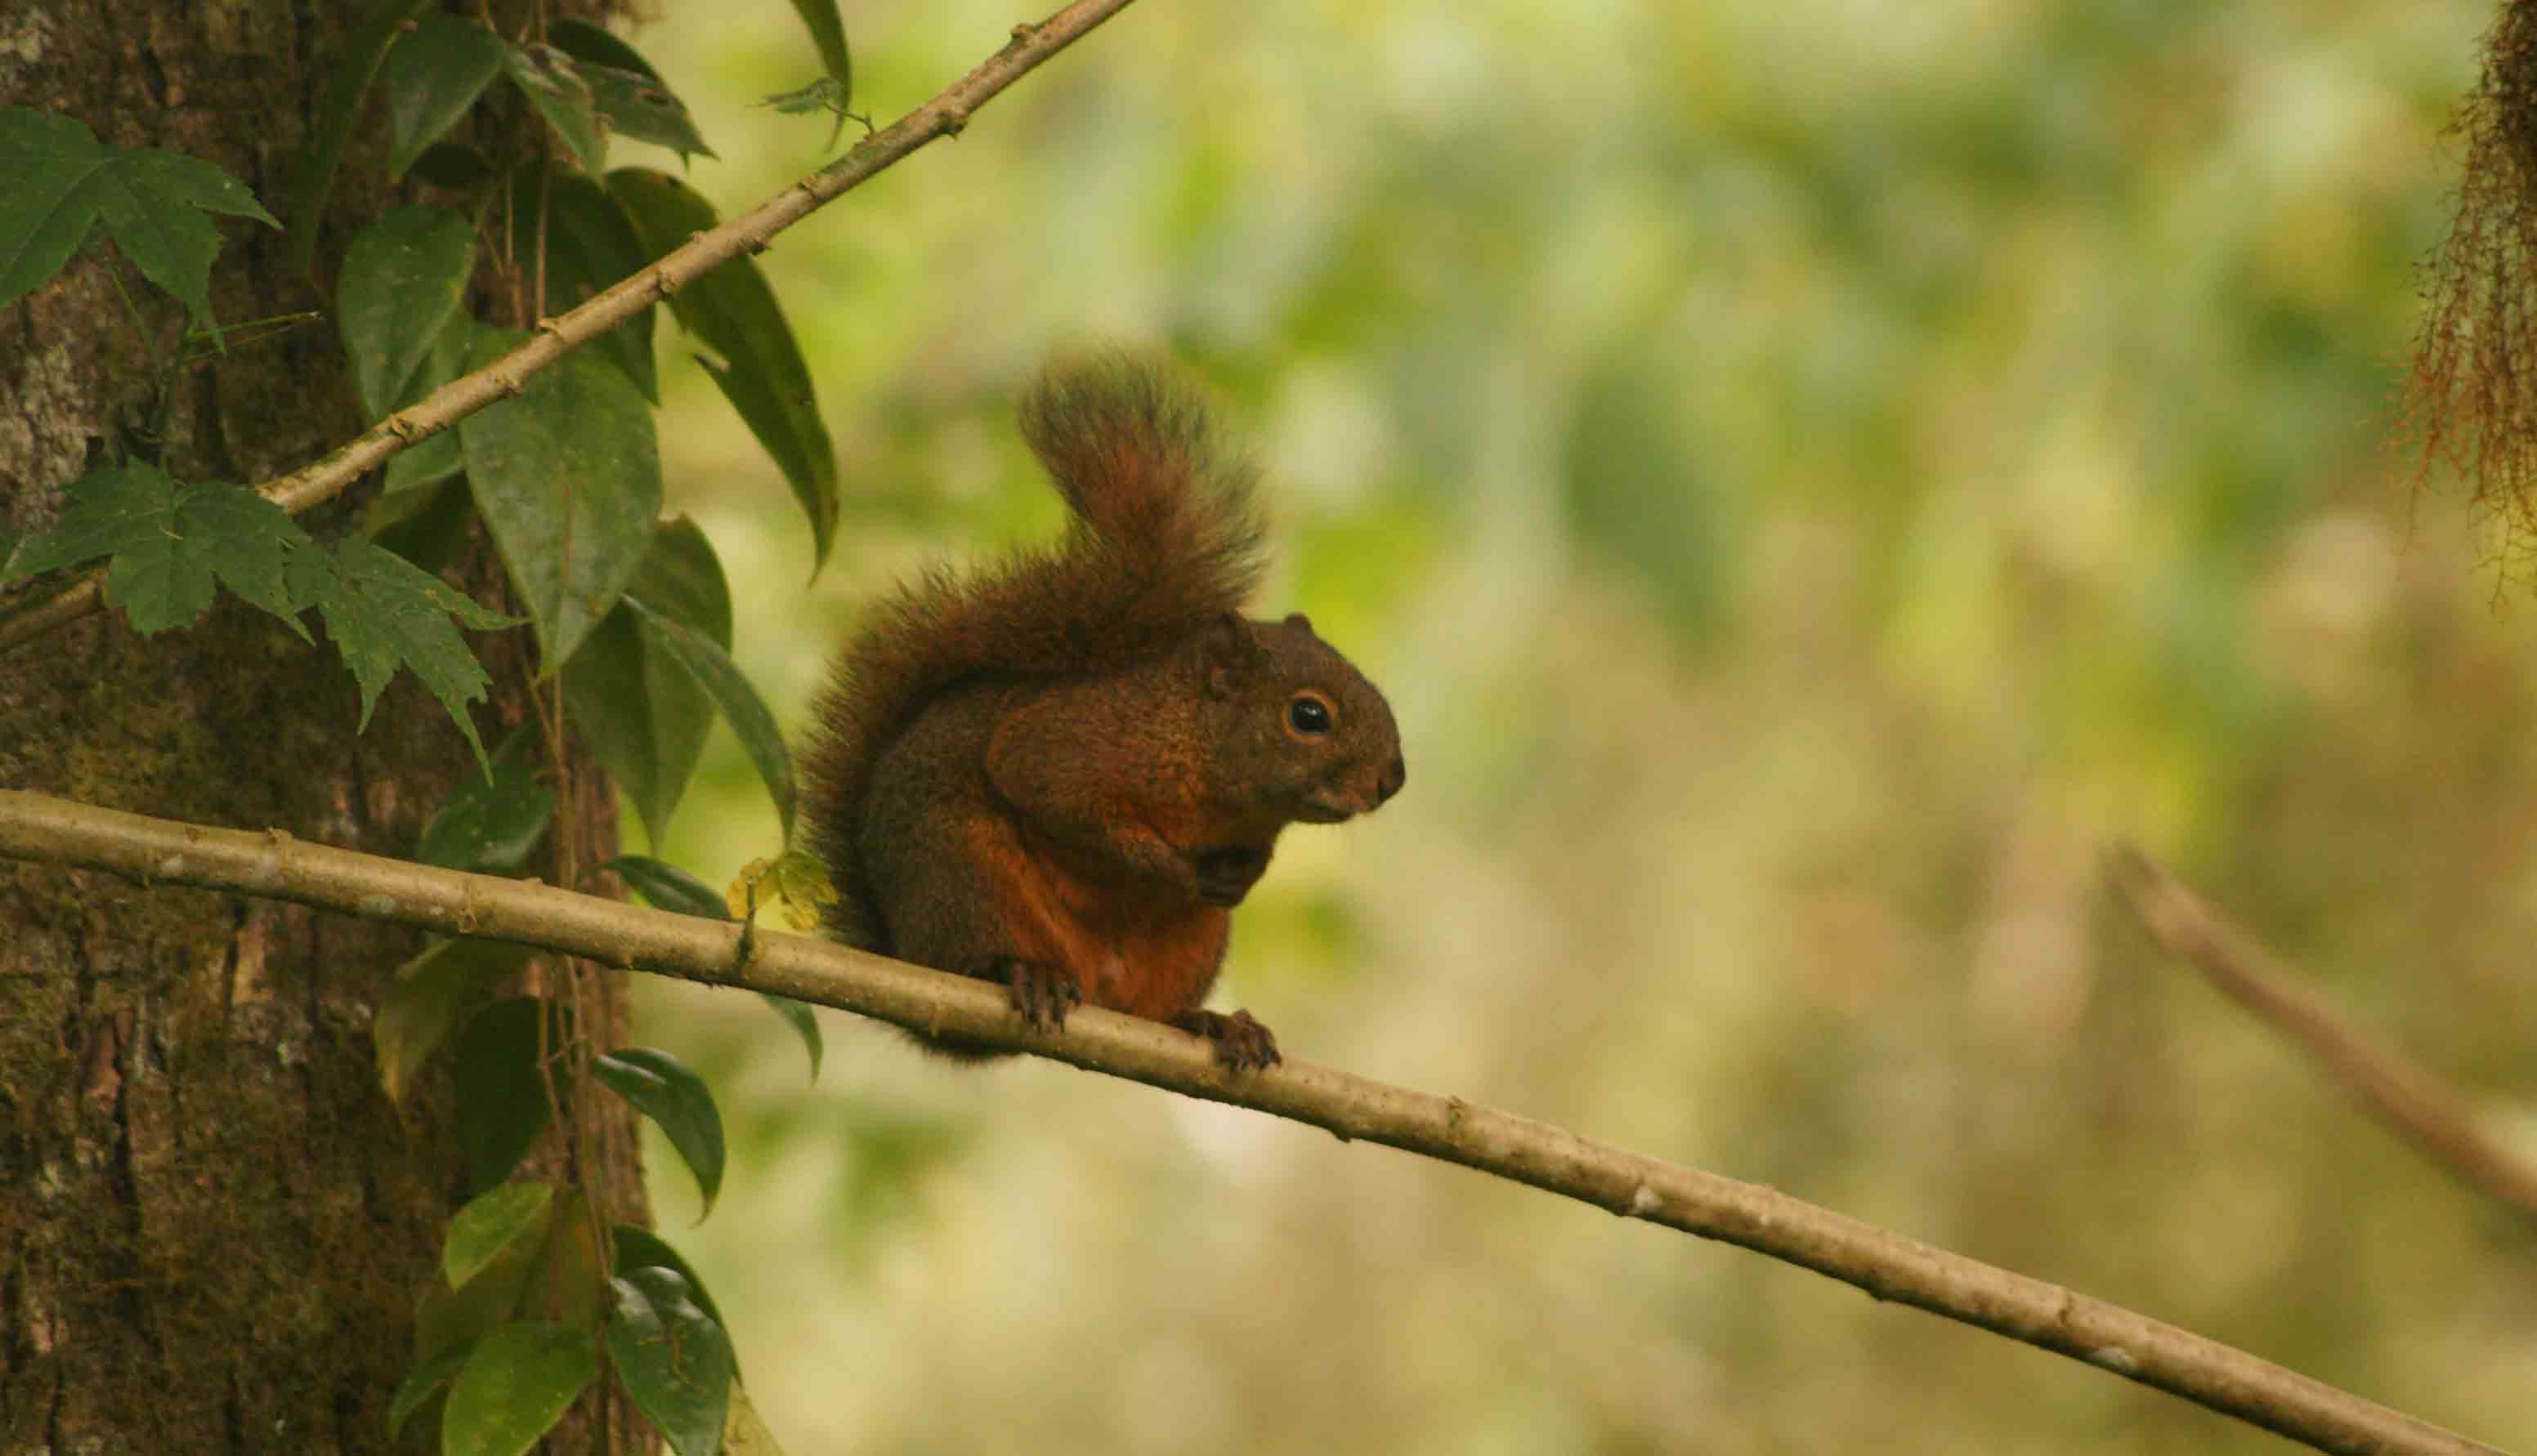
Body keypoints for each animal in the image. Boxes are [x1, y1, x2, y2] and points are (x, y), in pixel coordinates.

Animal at [801, 360, 1410, 1080]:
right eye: (1309, 715)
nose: (1392, 779)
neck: (1201, 749)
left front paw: (1244, 874)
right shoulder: (1072, 745)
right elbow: (1063, 802)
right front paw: (1174, 870)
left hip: (1191, 947)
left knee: (1154, 1013)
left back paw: (1217, 1024)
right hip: (965, 882)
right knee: (976, 958)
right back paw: (1022, 973)